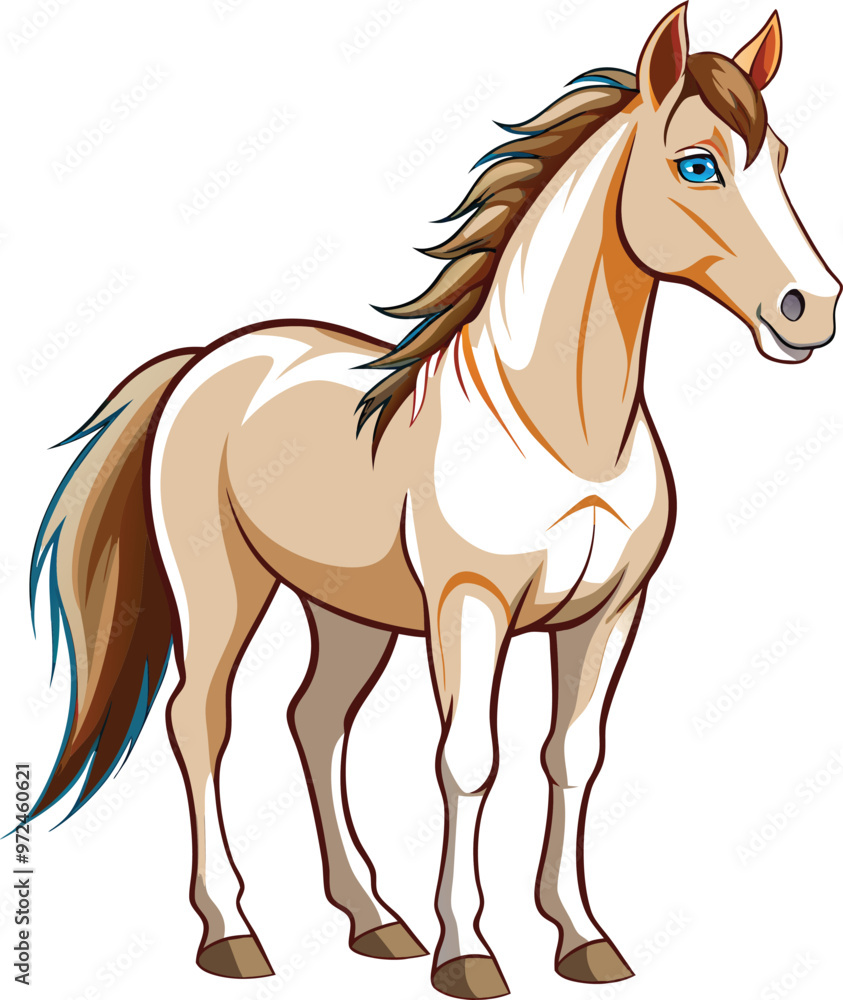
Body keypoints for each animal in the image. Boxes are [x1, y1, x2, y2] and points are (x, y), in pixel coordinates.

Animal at [21, 4, 839, 997]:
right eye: (696, 165)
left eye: (782, 156)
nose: (810, 308)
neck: (557, 430)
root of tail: (208, 359)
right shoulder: (469, 607)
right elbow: (468, 761)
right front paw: (469, 952)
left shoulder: (607, 614)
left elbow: (571, 758)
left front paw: (581, 938)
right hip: (223, 592)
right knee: (201, 721)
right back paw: (231, 933)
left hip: (347, 610)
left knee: (315, 722)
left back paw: (375, 921)